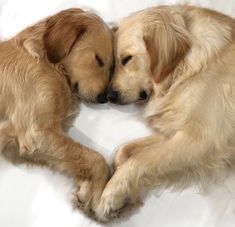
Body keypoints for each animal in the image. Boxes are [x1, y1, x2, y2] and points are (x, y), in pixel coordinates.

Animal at [0, 8, 113, 215]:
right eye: (99, 60)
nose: (104, 98)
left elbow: (81, 159)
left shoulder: (18, 146)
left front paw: (86, 190)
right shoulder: (36, 133)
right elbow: (97, 159)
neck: (46, 62)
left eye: (112, 67)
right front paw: (95, 197)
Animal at [94, 4, 235, 222]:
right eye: (114, 64)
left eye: (127, 59)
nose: (109, 96)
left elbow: (139, 160)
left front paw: (111, 196)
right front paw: (127, 198)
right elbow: (123, 152)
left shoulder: (201, 140)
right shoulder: (174, 131)